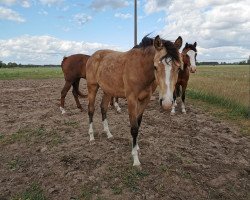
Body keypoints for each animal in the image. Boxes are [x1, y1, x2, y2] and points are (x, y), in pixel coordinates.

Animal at [85, 35, 182, 166]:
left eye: (178, 68)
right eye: (155, 67)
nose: (167, 103)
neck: (140, 69)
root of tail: (93, 56)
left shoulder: (144, 100)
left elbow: (138, 124)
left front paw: (136, 148)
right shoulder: (131, 100)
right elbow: (134, 128)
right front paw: (135, 160)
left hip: (108, 91)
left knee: (103, 108)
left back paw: (108, 134)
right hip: (92, 87)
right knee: (91, 110)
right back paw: (91, 137)